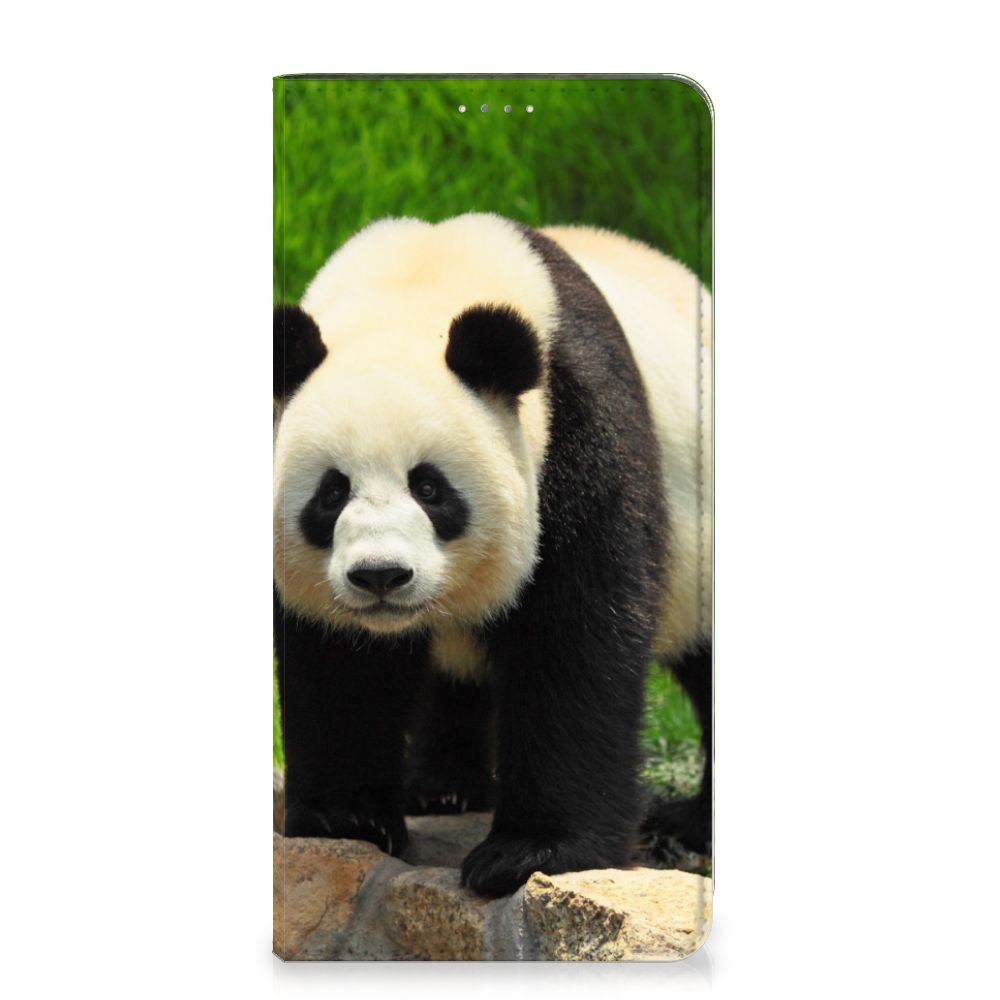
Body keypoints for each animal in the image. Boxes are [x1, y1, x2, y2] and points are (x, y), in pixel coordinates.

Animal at [273, 213, 712, 899]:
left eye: (429, 488)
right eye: (331, 492)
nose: (380, 576)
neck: (415, 286)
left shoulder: (577, 432)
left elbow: (575, 639)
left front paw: (529, 852)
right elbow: (336, 661)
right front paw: (347, 818)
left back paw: (693, 822)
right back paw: (442, 788)